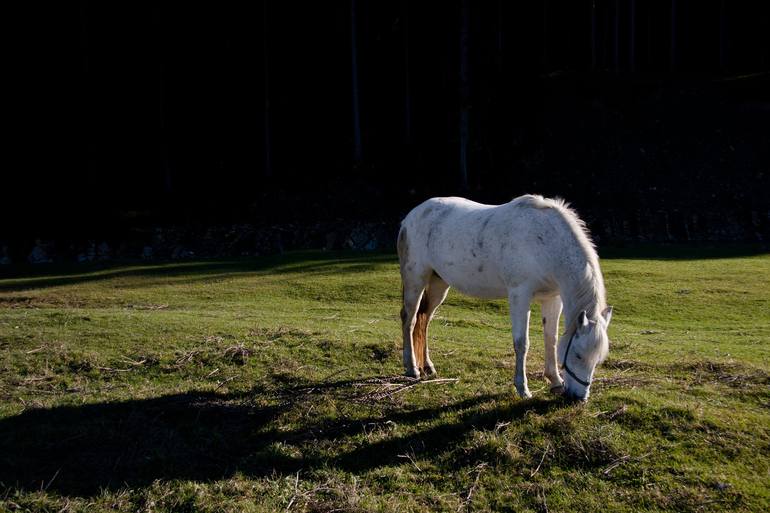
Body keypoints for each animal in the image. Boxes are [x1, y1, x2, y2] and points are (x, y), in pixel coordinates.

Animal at [396, 194, 612, 402]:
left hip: (438, 284)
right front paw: (523, 388)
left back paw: (428, 366)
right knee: (410, 319)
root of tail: (411, 217)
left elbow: (551, 338)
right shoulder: (519, 295)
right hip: (416, 279)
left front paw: (555, 381)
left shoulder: (552, 298)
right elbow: (522, 343)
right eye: (578, 355)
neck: (544, 242)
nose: (579, 398)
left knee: (424, 320)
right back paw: (412, 368)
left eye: (597, 360)